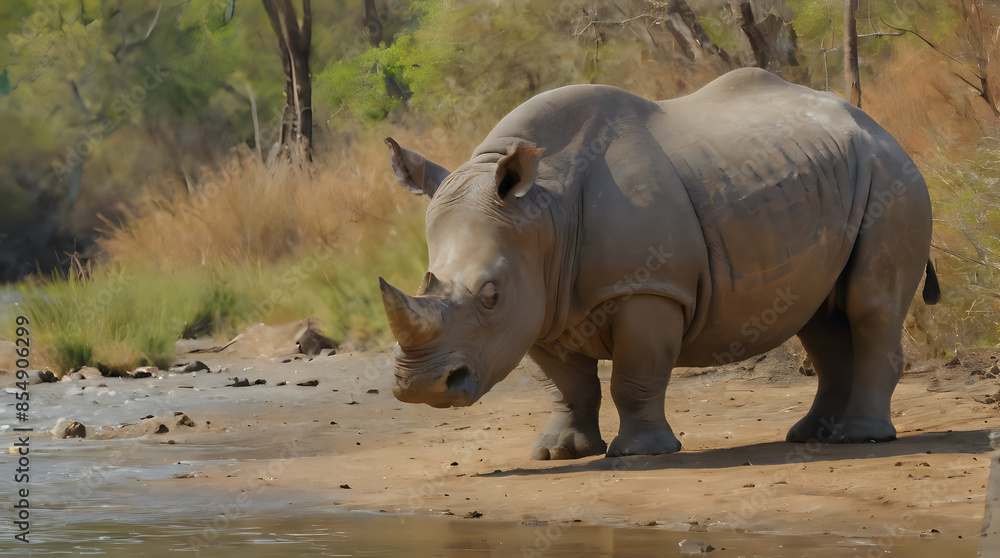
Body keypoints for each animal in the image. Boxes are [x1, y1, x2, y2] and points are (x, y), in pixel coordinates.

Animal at [379, 68, 939, 460]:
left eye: (490, 295)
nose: (421, 387)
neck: (543, 212)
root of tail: (877, 125)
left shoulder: (649, 286)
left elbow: (635, 374)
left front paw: (639, 453)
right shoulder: (539, 303)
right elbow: (568, 385)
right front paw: (560, 453)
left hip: (892, 176)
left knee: (870, 306)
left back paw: (859, 438)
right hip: (830, 176)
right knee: (818, 314)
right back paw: (811, 435)